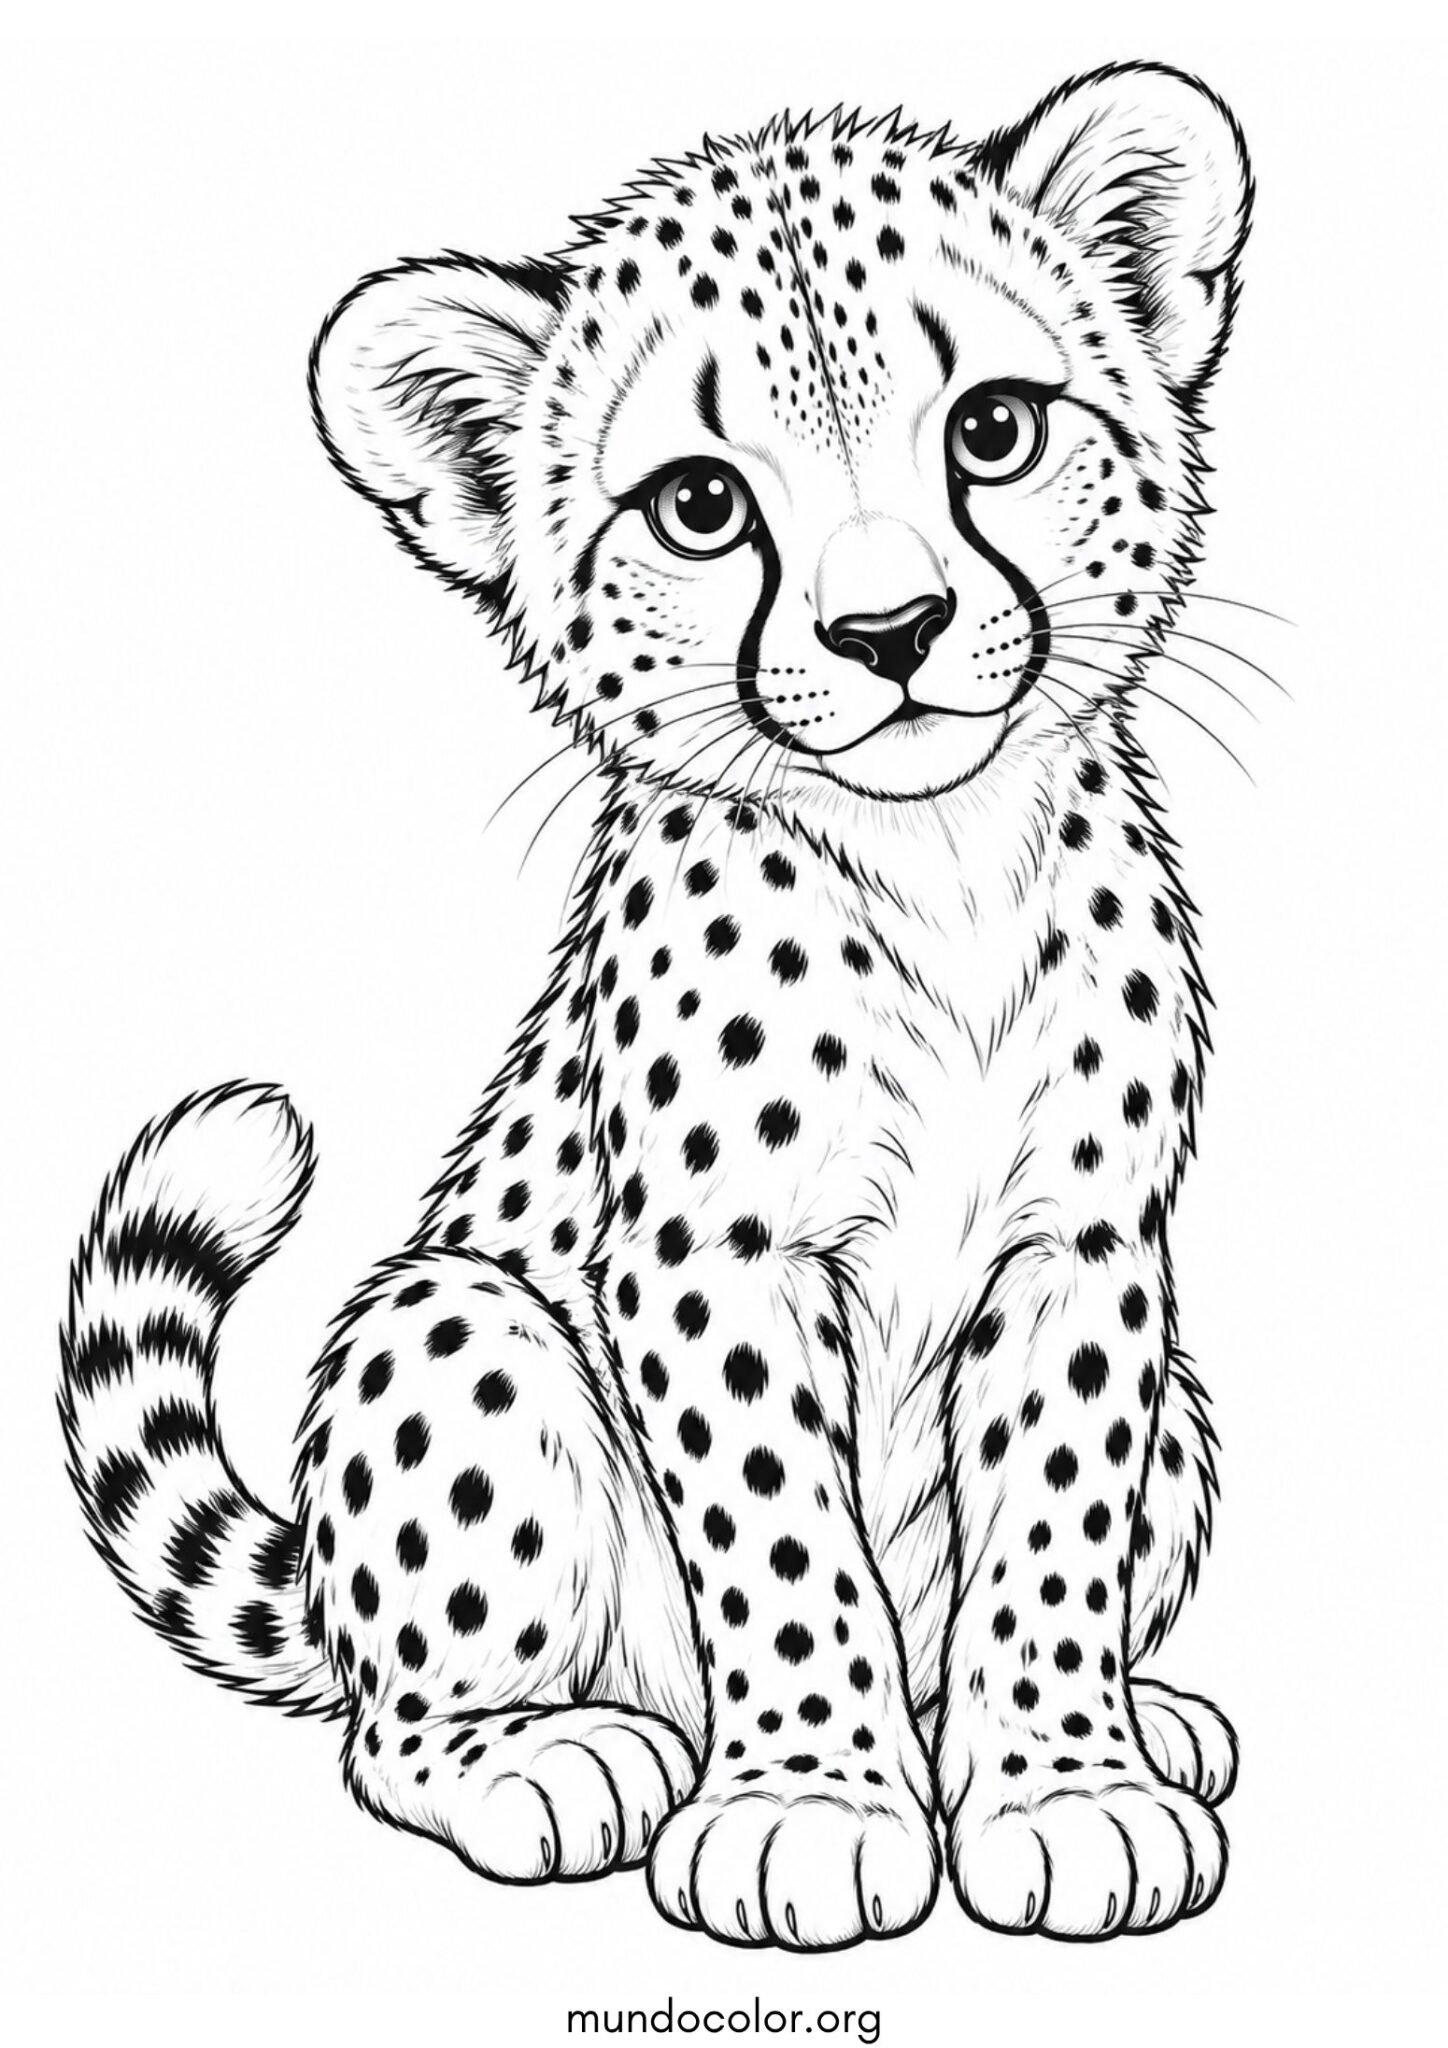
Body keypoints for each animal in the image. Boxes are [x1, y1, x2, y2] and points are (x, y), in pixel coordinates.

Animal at [60, 61, 1252, 1950]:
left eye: (992, 429)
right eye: (700, 506)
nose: (891, 628)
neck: (935, 868)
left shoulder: (1083, 1246)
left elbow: (1056, 1528)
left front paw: (1067, 1786)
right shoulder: (709, 1258)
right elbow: (781, 1543)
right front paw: (809, 1812)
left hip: (1188, 1413)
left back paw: (1136, 1721)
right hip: (454, 1326)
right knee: (389, 1726)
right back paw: (555, 1759)